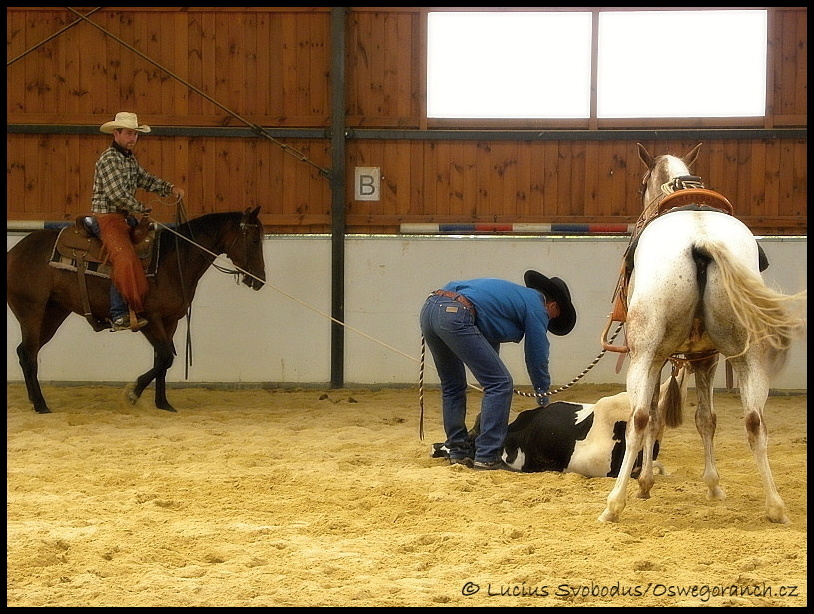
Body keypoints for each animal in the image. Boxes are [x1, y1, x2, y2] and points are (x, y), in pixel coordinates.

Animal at [7, 207, 268, 414]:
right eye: (255, 240)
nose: (260, 280)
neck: (172, 262)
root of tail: (14, 252)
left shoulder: (170, 321)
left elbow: (163, 360)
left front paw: (163, 404)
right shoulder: (150, 318)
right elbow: (165, 356)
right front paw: (133, 393)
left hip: (54, 313)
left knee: (24, 352)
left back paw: (34, 399)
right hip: (32, 311)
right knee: (29, 355)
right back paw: (41, 405)